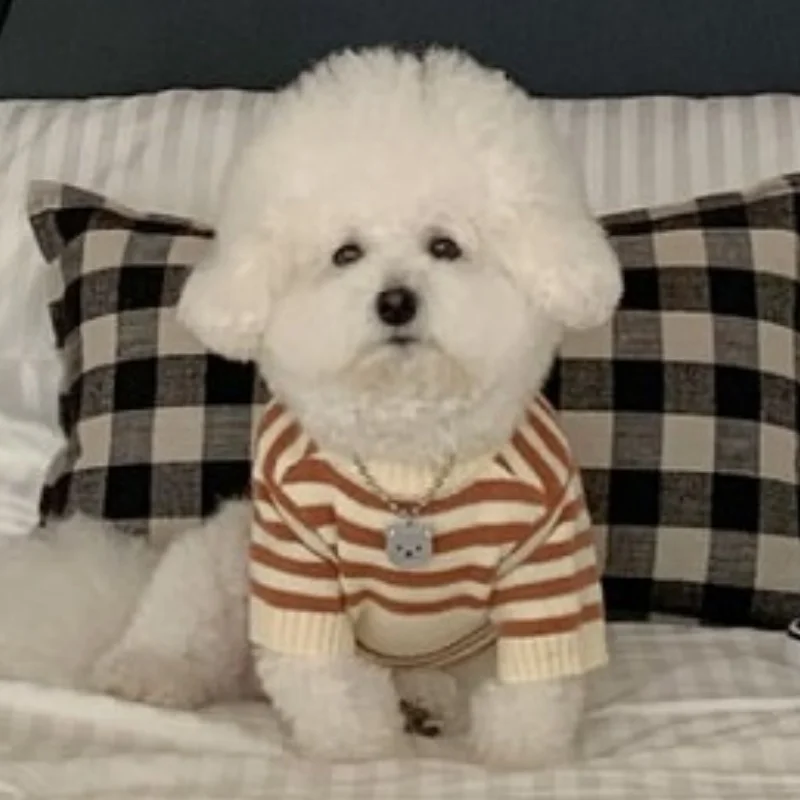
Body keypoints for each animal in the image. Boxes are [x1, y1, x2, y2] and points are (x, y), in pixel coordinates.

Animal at [0, 47, 621, 768]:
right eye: (346, 253)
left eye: (445, 245)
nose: (396, 301)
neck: (407, 465)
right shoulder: (296, 566)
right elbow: (327, 682)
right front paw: (361, 752)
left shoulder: (545, 566)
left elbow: (537, 681)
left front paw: (518, 754)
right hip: (224, 561)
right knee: (179, 625)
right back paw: (148, 672)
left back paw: (426, 699)